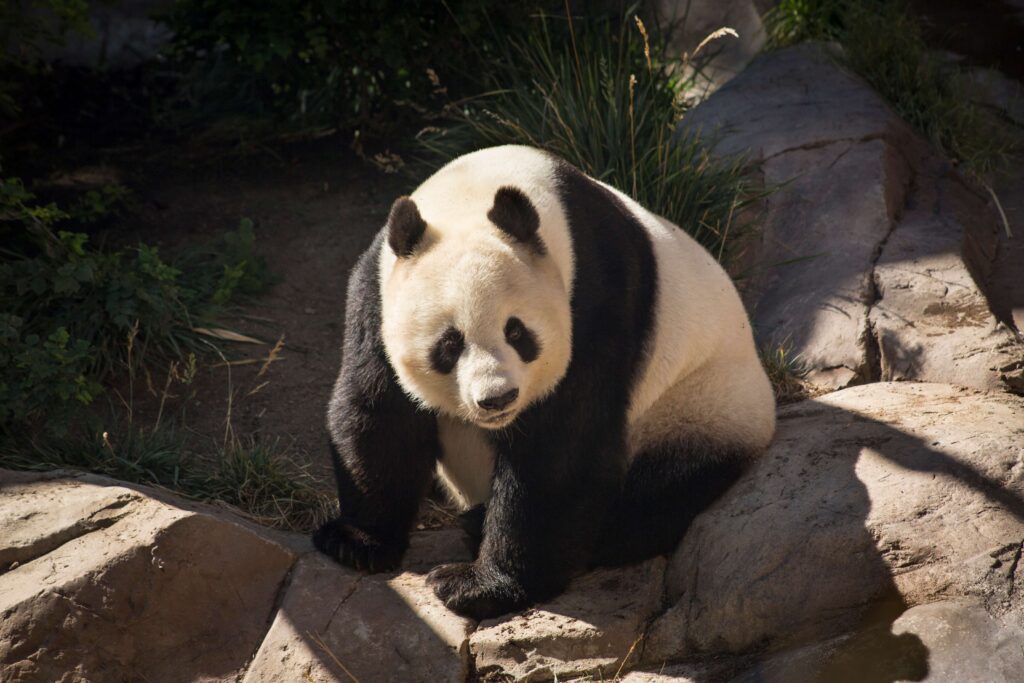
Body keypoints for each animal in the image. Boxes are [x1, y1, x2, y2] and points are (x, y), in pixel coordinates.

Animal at [313, 145, 776, 620]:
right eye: (449, 344)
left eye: (516, 331)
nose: (497, 398)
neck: (478, 189)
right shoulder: (376, 292)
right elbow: (380, 410)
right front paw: (357, 542)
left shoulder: (598, 298)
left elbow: (559, 447)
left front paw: (479, 586)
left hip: (696, 405)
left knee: (657, 493)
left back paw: (483, 525)